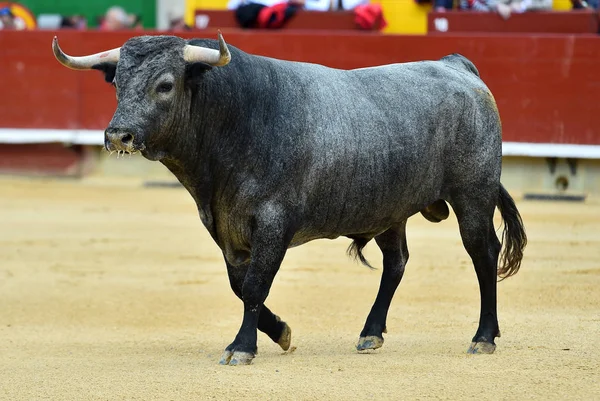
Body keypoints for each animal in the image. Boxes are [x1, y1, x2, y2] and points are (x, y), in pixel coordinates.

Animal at [54, 33, 528, 366]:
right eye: (117, 82)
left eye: (166, 85)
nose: (118, 135)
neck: (237, 120)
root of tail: (456, 66)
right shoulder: (225, 228)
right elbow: (240, 286)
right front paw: (280, 332)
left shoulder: (272, 223)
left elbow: (254, 286)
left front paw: (242, 348)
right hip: (389, 208)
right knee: (396, 263)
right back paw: (371, 333)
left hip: (473, 195)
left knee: (483, 253)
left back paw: (483, 338)